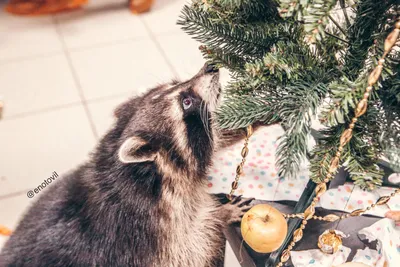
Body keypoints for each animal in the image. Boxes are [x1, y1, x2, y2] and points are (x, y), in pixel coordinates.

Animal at [0, 64, 255, 267]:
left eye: (175, 84)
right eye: (186, 102)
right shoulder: (147, 234)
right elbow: (192, 241)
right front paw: (220, 213)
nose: (210, 66)